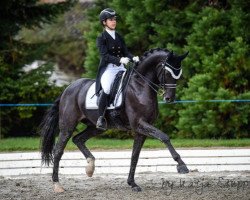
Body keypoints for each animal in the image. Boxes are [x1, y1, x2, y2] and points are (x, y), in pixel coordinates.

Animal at [39, 48, 188, 192]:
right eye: (167, 72)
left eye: (179, 73)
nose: (169, 98)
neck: (140, 86)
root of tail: (68, 88)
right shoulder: (139, 124)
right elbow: (164, 137)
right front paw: (181, 165)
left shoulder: (141, 130)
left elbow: (135, 156)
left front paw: (132, 183)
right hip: (67, 126)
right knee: (58, 150)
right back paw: (57, 185)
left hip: (96, 127)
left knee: (78, 139)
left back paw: (90, 167)